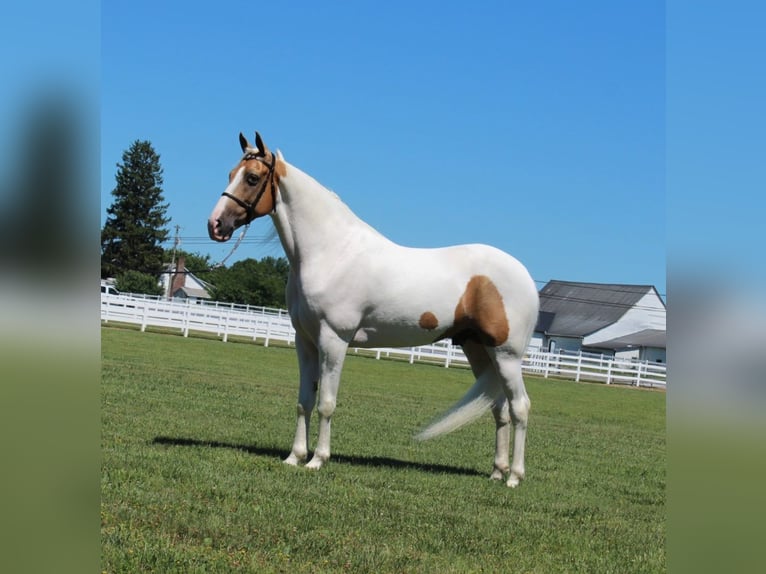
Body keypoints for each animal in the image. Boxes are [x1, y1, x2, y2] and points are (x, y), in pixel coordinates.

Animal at [206, 133, 540, 488]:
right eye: (231, 174)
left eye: (252, 178)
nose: (216, 224)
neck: (331, 252)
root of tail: (524, 276)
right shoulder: (305, 341)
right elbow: (304, 401)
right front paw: (294, 457)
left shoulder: (334, 341)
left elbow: (326, 403)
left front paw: (317, 460)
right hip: (480, 351)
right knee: (500, 408)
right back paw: (497, 471)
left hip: (506, 355)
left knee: (520, 407)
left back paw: (514, 477)